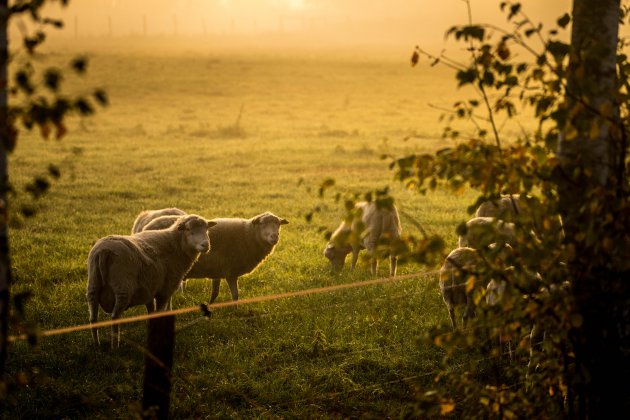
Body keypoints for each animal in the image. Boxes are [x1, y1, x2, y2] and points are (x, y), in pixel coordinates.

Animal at [86, 213, 216, 348]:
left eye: (206, 229)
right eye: (188, 229)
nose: (206, 245)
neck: (177, 245)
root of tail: (104, 252)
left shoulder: (149, 289)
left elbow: (152, 313)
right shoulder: (166, 289)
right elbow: (161, 312)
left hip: (93, 285)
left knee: (93, 318)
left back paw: (96, 344)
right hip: (122, 288)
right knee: (114, 317)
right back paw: (115, 346)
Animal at [140, 212, 288, 304]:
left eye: (278, 224)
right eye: (262, 223)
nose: (274, 237)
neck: (247, 236)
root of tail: (146, 226)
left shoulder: (217, 271)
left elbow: (215, 293)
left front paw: (210, 305)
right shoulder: (231, 272)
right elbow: (235, 295)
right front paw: (235, 309)